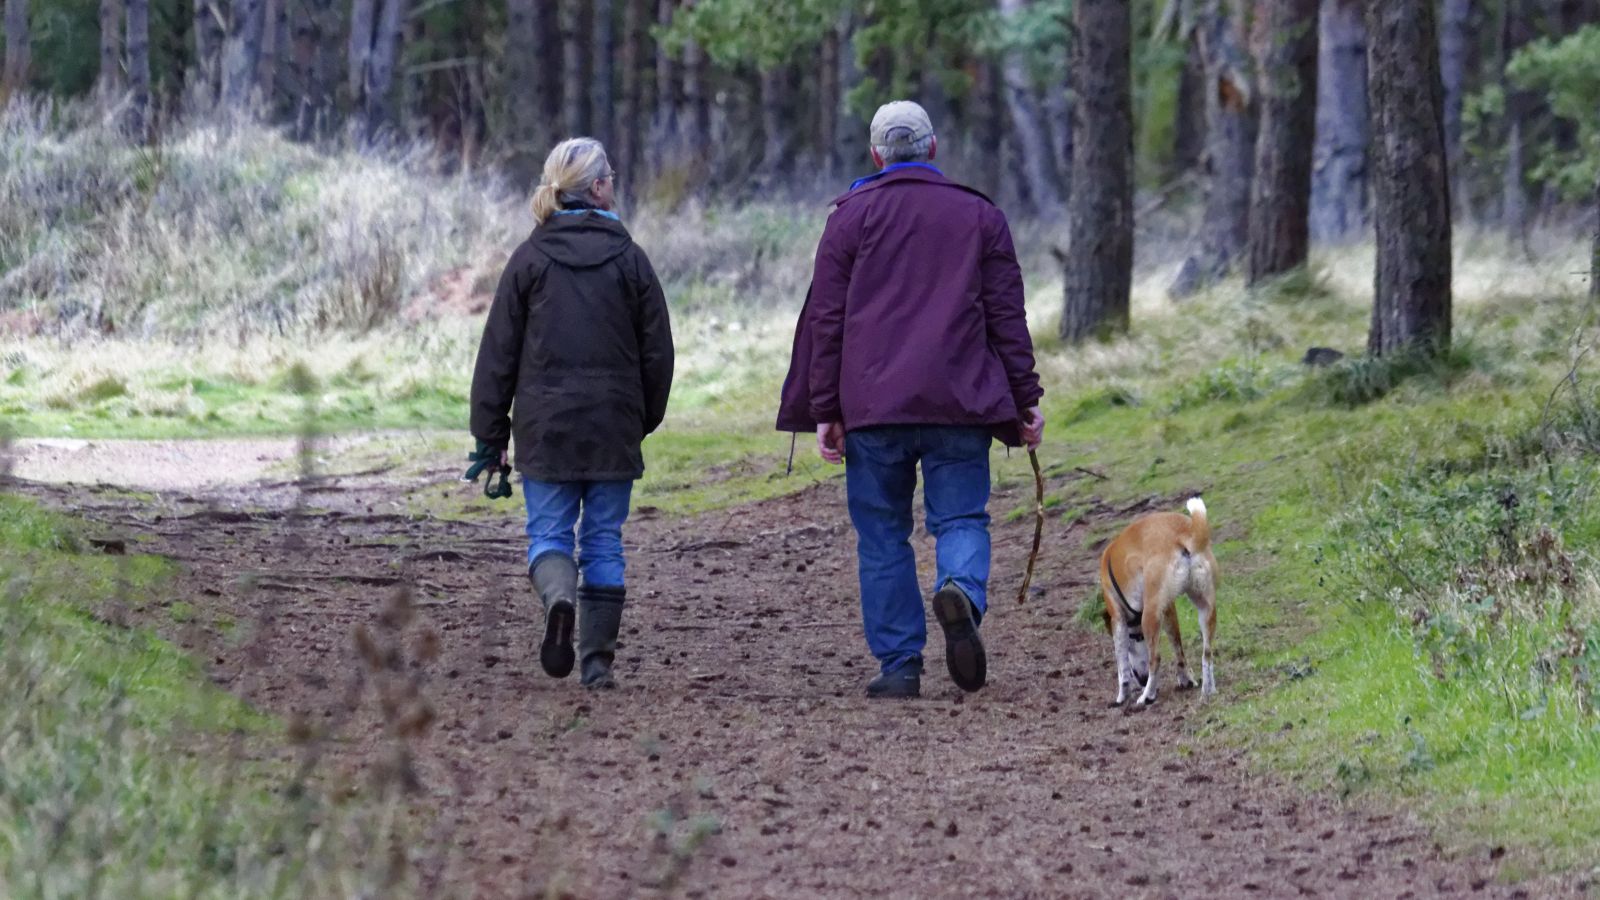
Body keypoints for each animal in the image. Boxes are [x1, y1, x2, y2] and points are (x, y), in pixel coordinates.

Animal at [1094, 493, 1216, 704]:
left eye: (1135, 639)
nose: (1142, 680)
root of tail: (1182, 534)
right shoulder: (1168, 609)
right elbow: (1179, 650)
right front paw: (1187, 680)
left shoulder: (1117, 618)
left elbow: (1122, 667)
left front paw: (1122, 696)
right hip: (1206, 607)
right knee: (1207, 653)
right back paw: (1208, 690)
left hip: (1150, 616)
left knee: (1155, 659)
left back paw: (1147, 696)